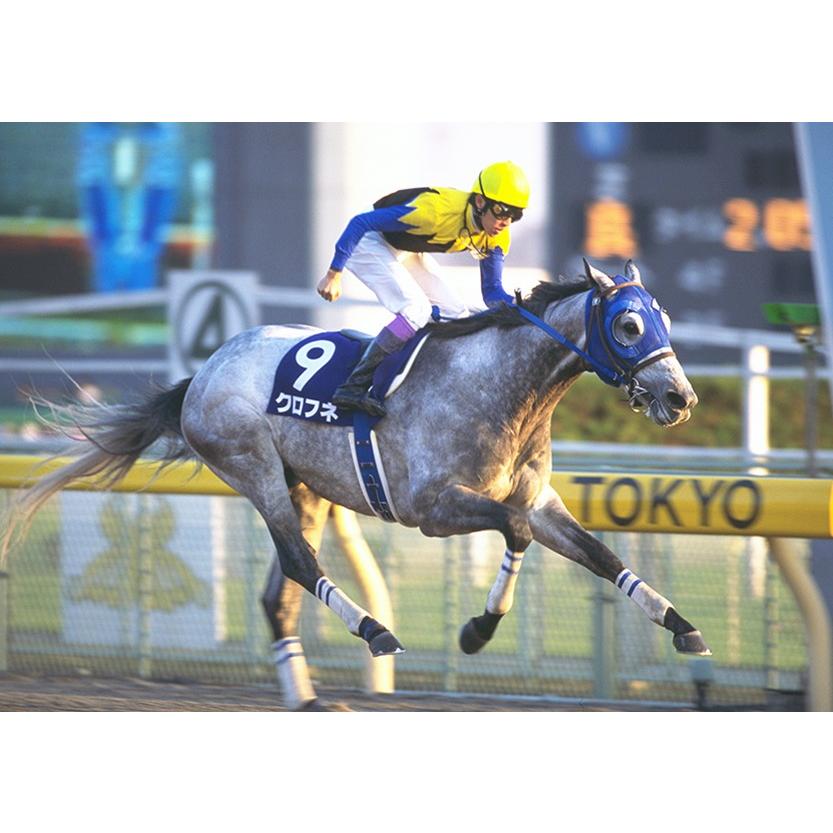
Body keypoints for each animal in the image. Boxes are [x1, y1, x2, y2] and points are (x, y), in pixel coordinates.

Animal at [1, 259, 710, 710]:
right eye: (628, 325)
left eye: (667, 320)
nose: (681, 398)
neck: (502, 386)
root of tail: (203, 372)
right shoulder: (433, 506)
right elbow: (513, 534)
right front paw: (477, 630)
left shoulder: (539, 501)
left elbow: (601, 555)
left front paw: (682, 626)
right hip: (252, 464)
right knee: (297, 561)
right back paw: (374, 631)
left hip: (306, 486)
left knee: (278, 595)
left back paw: (308, 698)